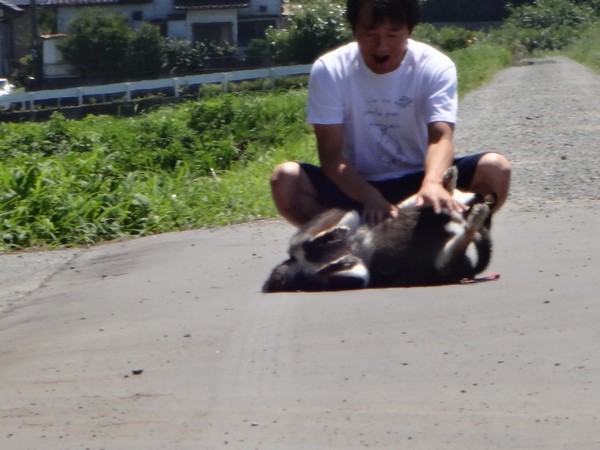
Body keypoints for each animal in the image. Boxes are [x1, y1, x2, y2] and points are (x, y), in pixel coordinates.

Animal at [262, 167, 494, 292]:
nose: (477, 197)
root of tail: (295, 266)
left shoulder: (445, 263)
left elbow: (466, 233)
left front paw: (475, 216)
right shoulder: (405, 208)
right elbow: (421, 199)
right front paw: (448, 181)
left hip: (361, 276)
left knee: (318, 264)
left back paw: (340, 260)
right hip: (349, 213)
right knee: (300, 244)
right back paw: (334, 237)